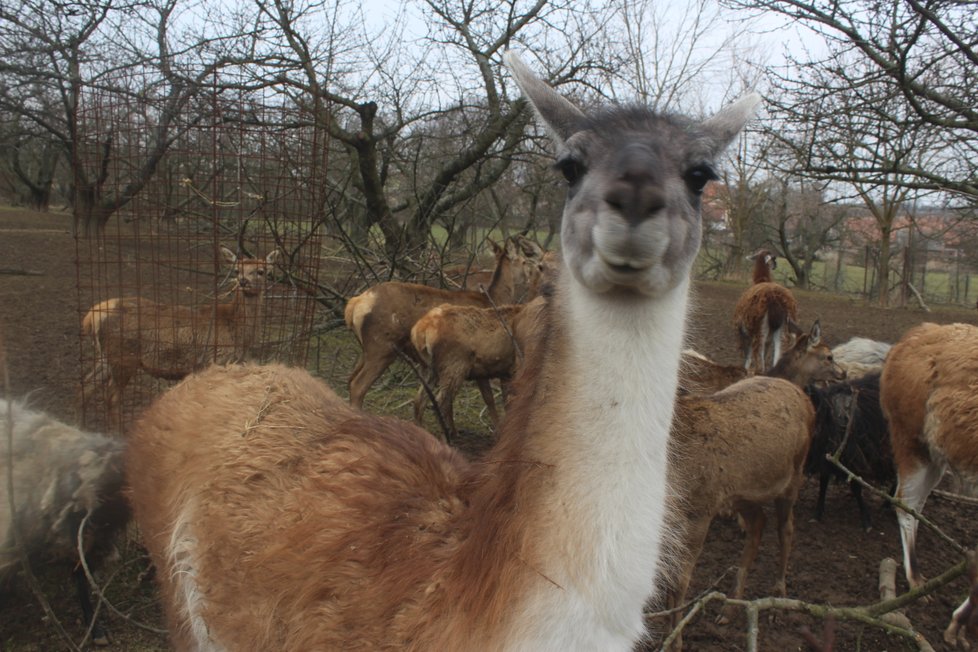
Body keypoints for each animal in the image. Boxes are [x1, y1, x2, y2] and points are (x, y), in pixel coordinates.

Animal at [85, 246, 278, 422]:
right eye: (237, 270)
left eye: (261, 271)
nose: (243, 281)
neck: (238, 333)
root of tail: (92, 316)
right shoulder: (215, 359)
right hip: (124, 357)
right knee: (112, 397)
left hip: (106, 357)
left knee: (86, 385)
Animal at [342, 233, 540, 408]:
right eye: (524, 261)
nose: (533, 274)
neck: (492, 299)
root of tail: (355, 304)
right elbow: (489, 399)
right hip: (382, 346)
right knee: (358, 386)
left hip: (366, 348)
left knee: (350, 379)